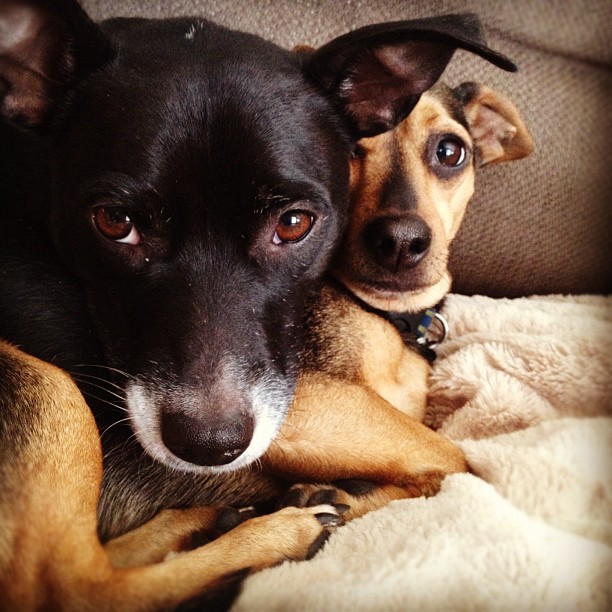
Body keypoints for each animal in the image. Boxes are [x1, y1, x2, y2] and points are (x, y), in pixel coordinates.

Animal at [0, 0, 512, 548]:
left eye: (293, 223)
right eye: (115, 221)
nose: (402, 243)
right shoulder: (307, 404)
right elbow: (457, 462)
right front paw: (337, 496)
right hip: (54, 390)